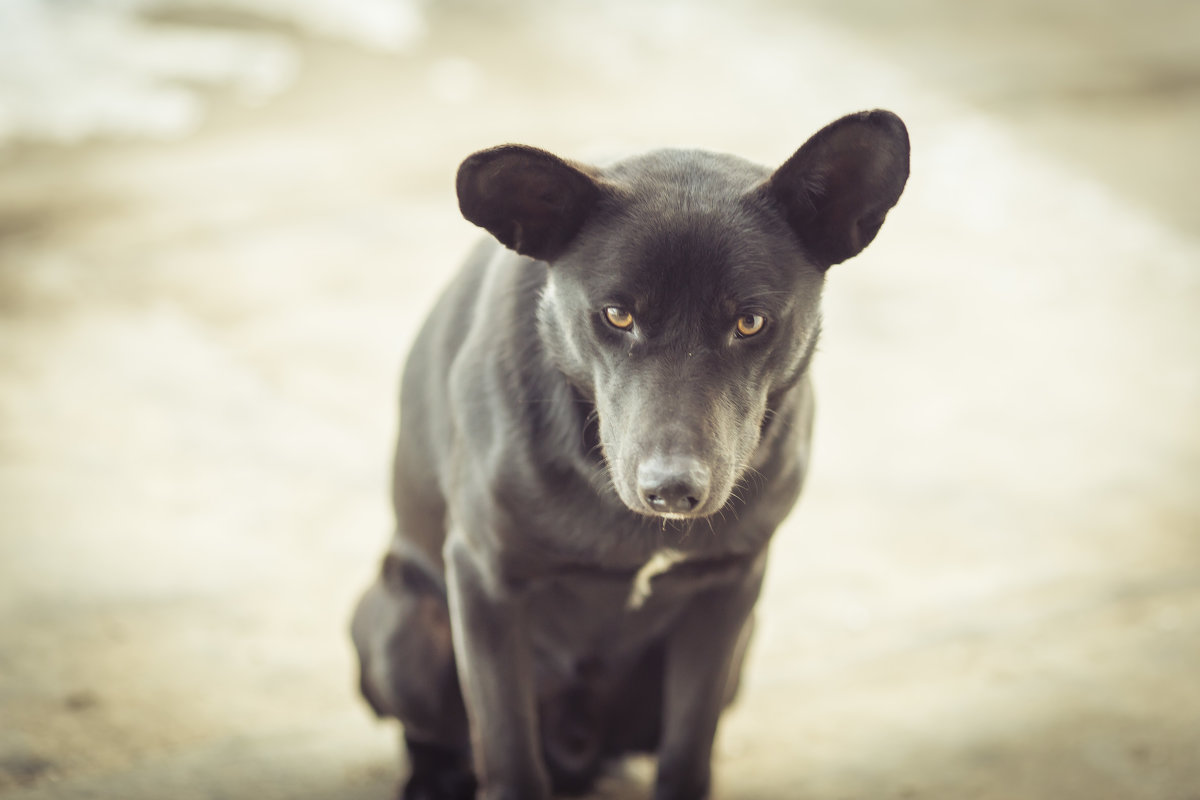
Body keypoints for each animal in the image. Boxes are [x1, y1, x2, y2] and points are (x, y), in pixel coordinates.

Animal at [350, 107, 907, 800]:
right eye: (617, 315)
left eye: (750, 323)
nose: (671, 490)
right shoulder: (484, 581)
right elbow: (507, 752)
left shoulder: (726, 590)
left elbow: (687, 748)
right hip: (405, 630)